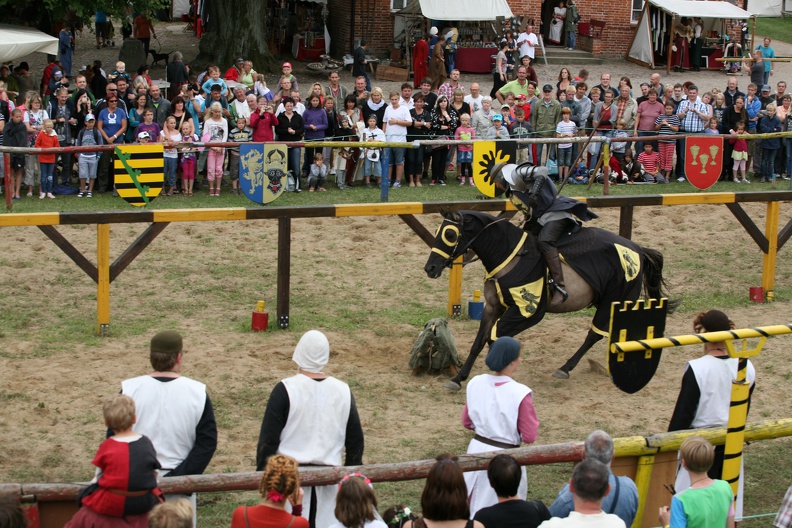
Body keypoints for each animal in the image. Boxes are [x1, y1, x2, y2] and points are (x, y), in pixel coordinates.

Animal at [424, 209, 672, 388]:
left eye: (449, 235)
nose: (430, 268)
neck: (509, 256)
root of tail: (636, 248)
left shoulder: (527, 312)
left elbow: (494, 339)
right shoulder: (492, 307)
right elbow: (479, 342)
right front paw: (458, 378)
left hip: (614, 299)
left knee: (595, 334)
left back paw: (567, 368)